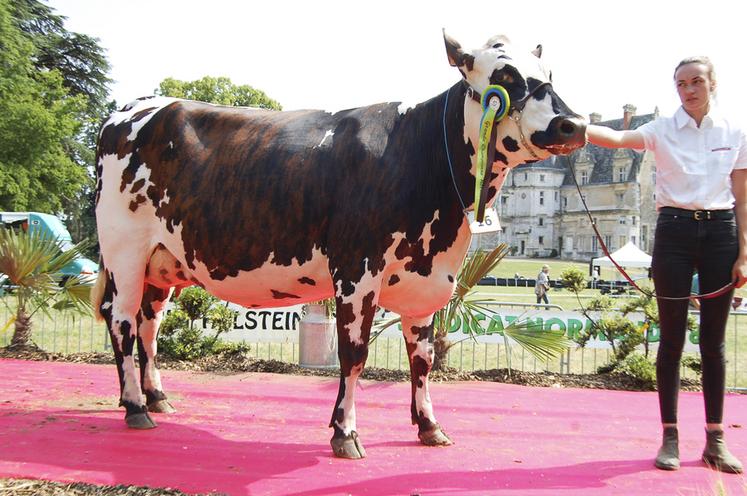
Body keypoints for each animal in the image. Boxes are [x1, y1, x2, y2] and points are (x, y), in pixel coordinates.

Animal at [92, 30, 584, 458]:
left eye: (550, 73)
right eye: (505, 76)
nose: (573, 124)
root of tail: (135, 106)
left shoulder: (426, 282)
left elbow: (422, 359)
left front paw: (429, 426)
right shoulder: (357, 268)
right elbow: (353, 354)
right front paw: (345, 433)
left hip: (163, 263)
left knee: (149, 325)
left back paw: (157, 398)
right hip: (124, 250)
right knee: (122, 321)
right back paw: (135, 407)